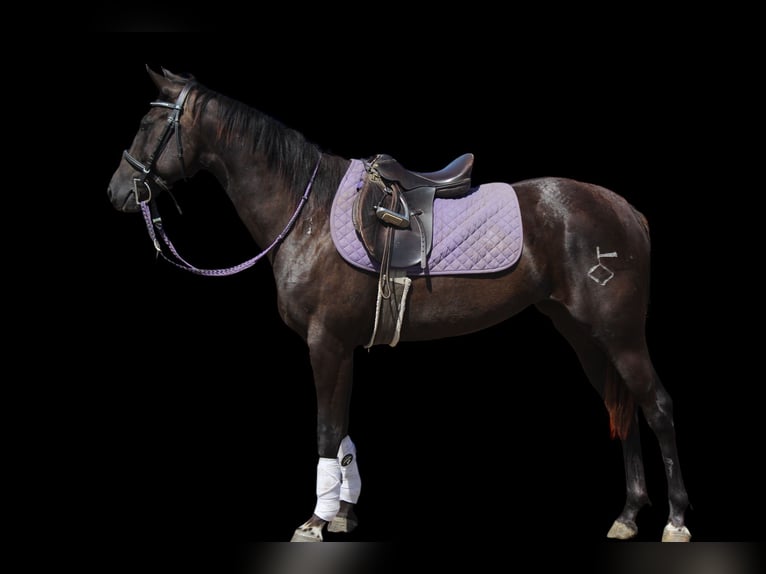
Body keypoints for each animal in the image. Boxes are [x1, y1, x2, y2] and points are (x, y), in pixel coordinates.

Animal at [106, 66, 691, 543]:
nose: (116, 191)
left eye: (148, 124)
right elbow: (342, 428)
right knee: (623, 408)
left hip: (619, 332)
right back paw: (627, 516)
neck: (309, 213)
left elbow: (325, 430)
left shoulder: (326, 344)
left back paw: (676, 521)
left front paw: (315, 521)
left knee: (657, 406)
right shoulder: (342, 347)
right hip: (584, 334)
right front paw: (343, 514)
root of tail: (626, 211)